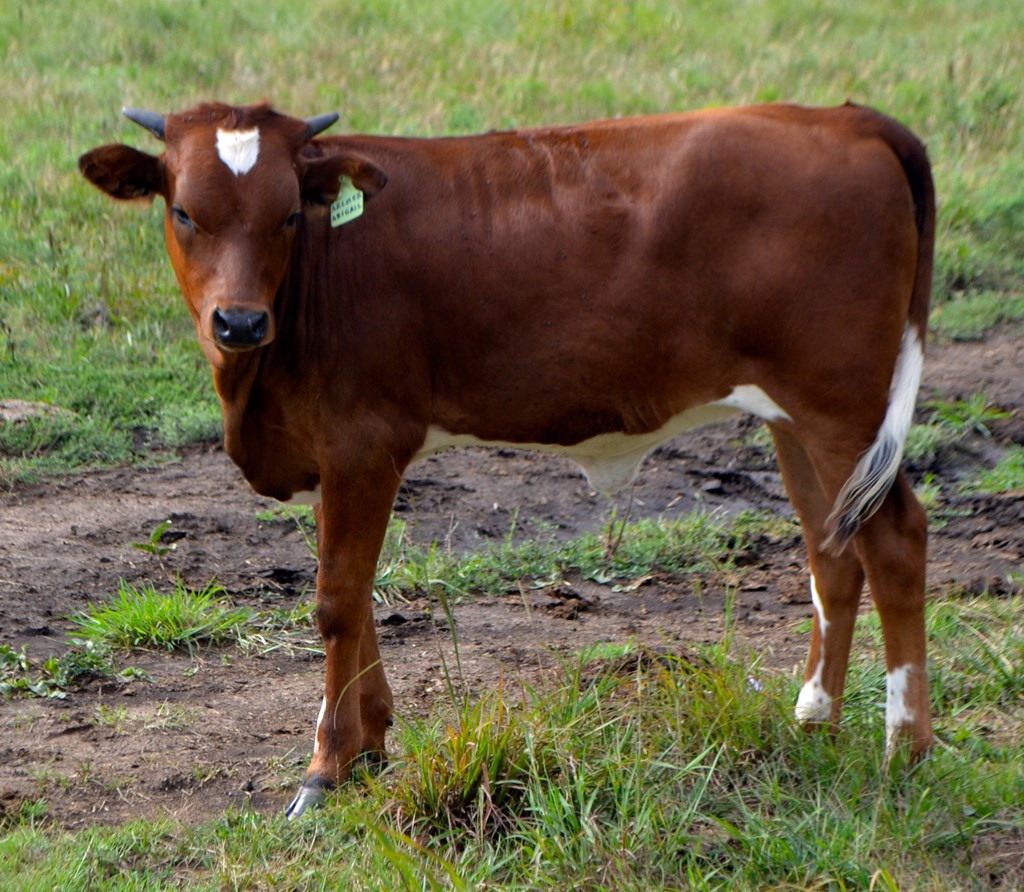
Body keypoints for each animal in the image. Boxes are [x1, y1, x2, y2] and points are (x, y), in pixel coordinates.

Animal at [79, 100, 935, 818]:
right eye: (184, 211)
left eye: (288, 214)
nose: (239, 322)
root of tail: (843, 116)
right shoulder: (336, 453)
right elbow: (359, 599)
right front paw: (371, 745)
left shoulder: (363, 443)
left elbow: (336, 603)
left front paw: (325, 768)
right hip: (794, 418)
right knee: (832, 552)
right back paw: (814, 719)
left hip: (843, 406)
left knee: (894, 542)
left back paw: (907, 751)